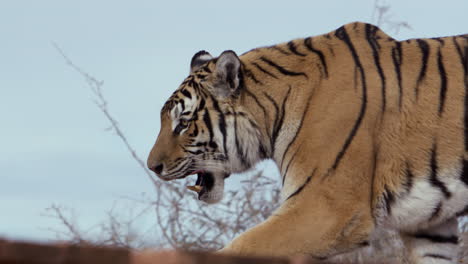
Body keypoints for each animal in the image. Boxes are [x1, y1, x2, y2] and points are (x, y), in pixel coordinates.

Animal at [147, 22, 468, 262]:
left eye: (183, 123)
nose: (153, 167)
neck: (273, 111)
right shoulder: (428, 225)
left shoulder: (325, 208)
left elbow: (242, 246)